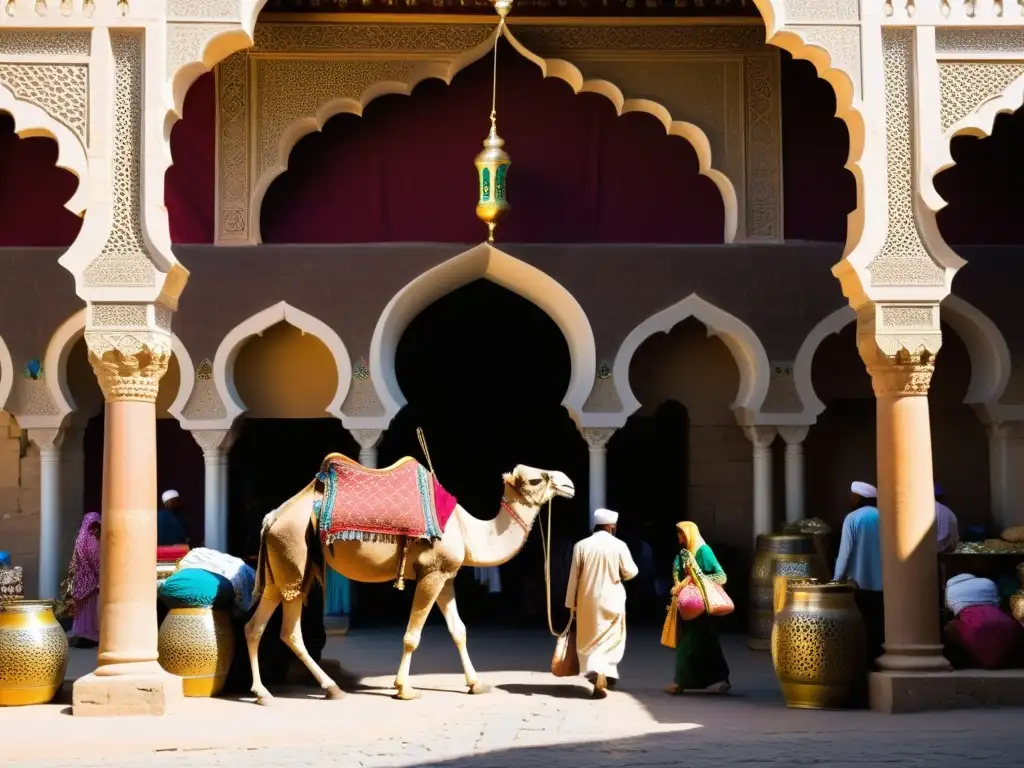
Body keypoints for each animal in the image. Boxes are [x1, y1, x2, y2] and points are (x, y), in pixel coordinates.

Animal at [242, 460, 573, 708]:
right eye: (535, 479)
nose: (568, 483)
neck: (467, 531)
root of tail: (271, 518)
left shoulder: (446, 575)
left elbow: (459, 630)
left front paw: (476, 683)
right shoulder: (431, 573)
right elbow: (412, 636)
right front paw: (404, 688)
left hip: (280, 570)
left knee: (256, 626)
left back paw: (265, 693)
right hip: (294, 556)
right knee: (290, 631)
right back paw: (327, 688)